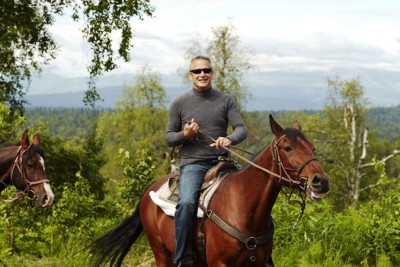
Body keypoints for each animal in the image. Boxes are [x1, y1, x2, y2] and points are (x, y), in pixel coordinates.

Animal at [90, 115, 328, 267]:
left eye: (313, 148)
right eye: (288, 148)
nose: (321, 181)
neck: (245, 208)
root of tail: (149, 190)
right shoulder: (219, 263)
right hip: (161, 252)